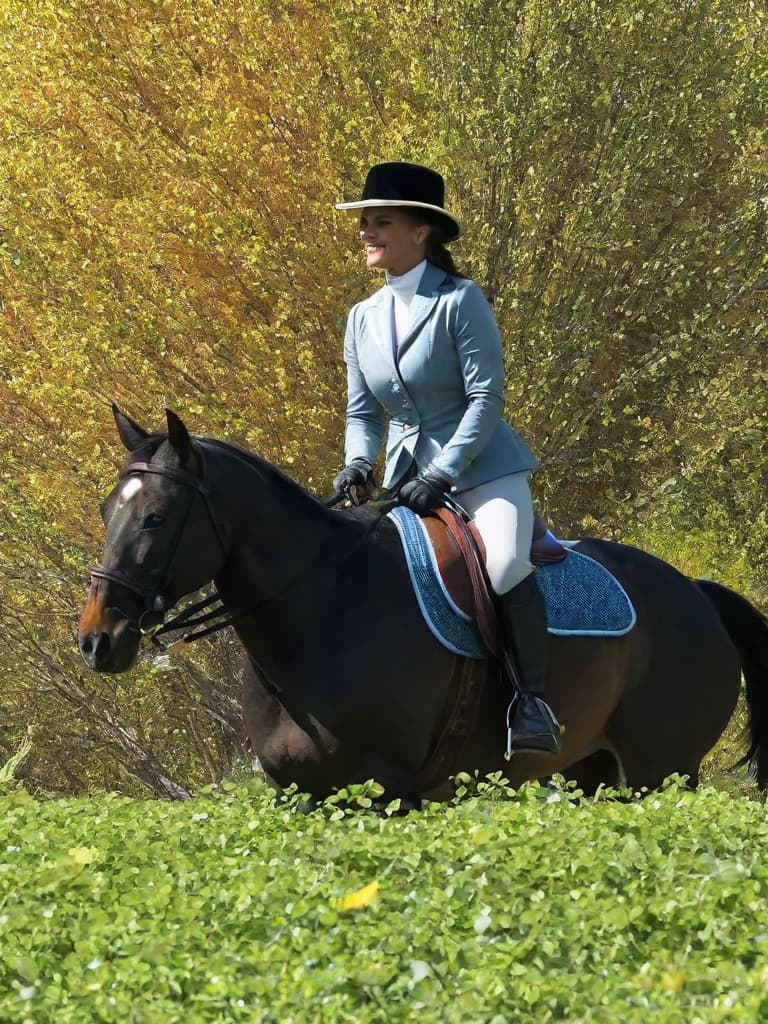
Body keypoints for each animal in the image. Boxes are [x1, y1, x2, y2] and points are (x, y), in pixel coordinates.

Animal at [78, 407, 768, 798]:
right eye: (111, 510)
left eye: (156, 518)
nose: (97, 639)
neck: (321, 614)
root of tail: (694, 592)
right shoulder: (301, 796)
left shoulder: (389, 791)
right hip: (592, 772)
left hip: (663, 772)